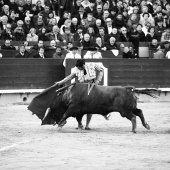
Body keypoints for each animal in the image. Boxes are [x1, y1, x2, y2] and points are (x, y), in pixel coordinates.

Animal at [27, 83, 159, 133]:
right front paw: (80, 127)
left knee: (133, 117)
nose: (54, 122)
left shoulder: (73, 109)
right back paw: (146, 125)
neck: (67, 95)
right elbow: (79, 119)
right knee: (139, 112)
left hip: (124, 111)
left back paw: (134, 129)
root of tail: (128, 88)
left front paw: (60, 125)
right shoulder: (79, 112)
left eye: (52, 111)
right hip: (130, 108)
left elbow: (66, 114)